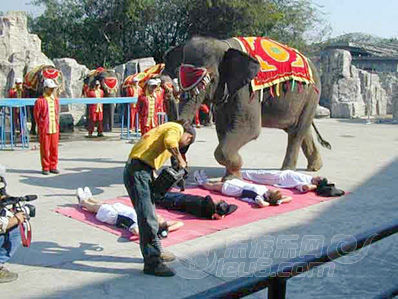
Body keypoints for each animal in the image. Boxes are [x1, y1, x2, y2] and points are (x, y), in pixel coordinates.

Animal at [163, 36, 332, 179]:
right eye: (178, 74)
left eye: (211, 79)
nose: (167, 88)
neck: (225, 44)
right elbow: (222, 129)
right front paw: (232, 175)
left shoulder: (247, 90)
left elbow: (249, 128)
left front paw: (235, 171)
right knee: (300, 129)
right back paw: (314, 167)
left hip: (312, 94)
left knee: (297, 132)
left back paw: (287, 171)